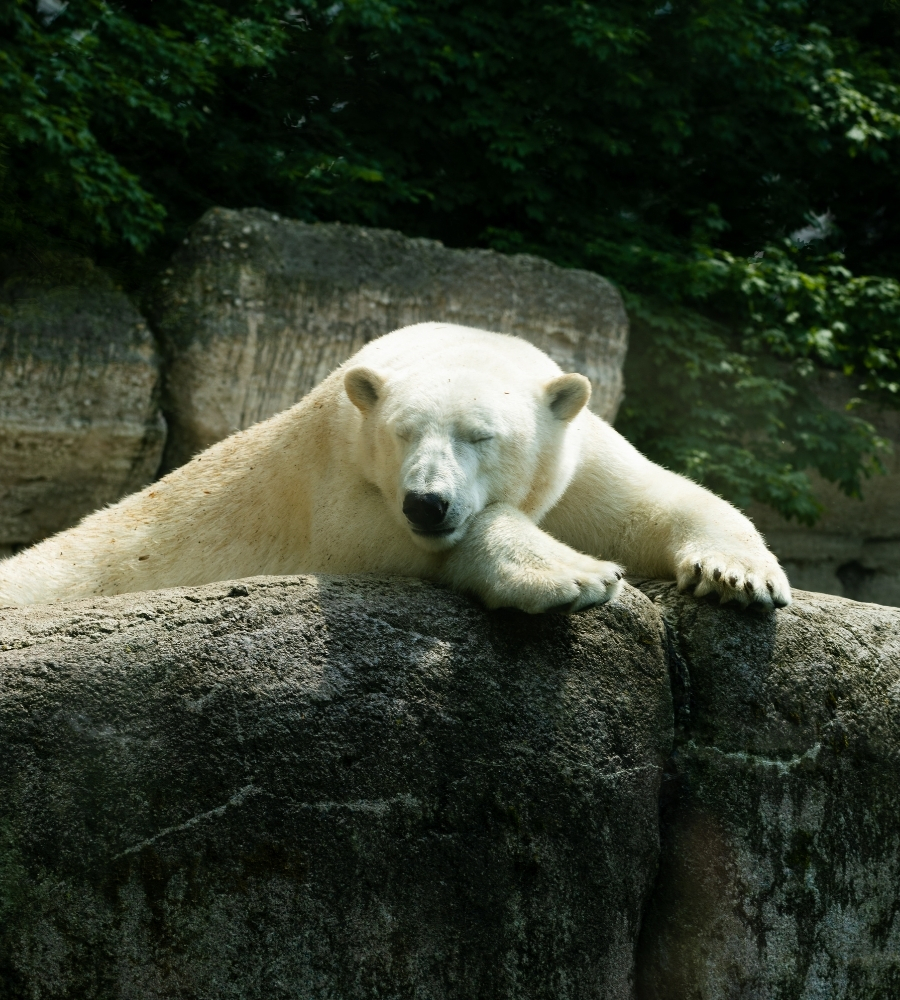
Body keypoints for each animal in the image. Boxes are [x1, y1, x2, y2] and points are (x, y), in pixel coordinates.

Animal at [0, 322, 791, 612]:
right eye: (404, 432)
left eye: (481, 436)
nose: (427, 504)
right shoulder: (339, 473)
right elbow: (369, 536)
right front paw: (572, 575)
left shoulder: (577, 458)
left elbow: (652, 501)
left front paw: (737, 574)